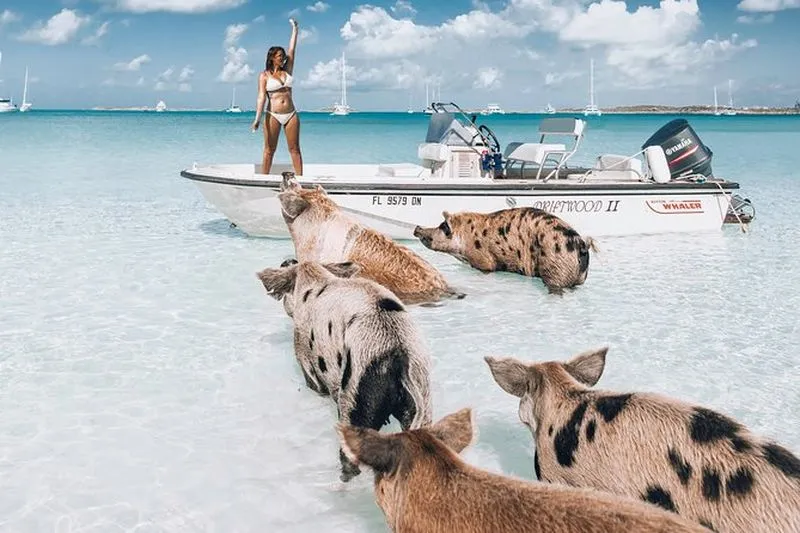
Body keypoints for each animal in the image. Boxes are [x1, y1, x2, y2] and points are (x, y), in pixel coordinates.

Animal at [412, 208, 597, 294]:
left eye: (441, 226)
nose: (417, 227)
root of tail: (581, 245)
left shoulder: (483, 259)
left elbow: (487, 268)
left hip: (556, 265)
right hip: (580, 276)